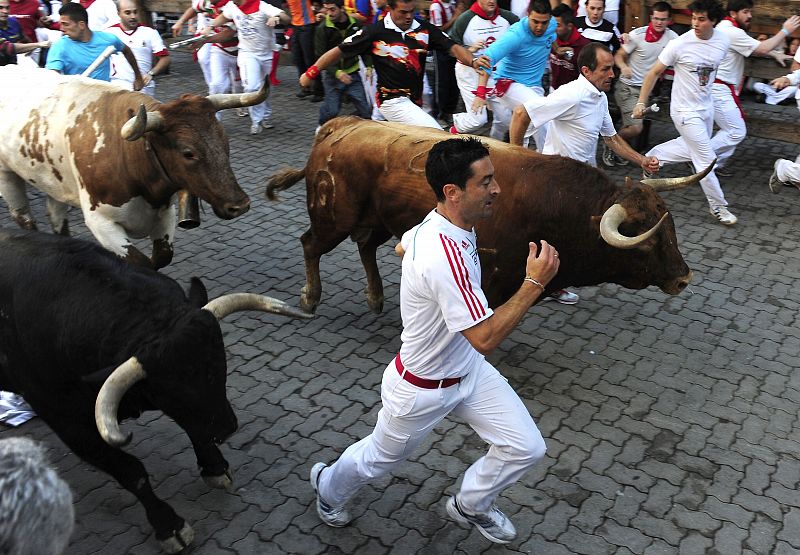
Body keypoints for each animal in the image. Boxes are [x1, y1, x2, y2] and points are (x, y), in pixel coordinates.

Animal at [0, 232, 310, 552]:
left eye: (218, 366)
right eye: (173, 388)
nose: (226, 429)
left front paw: (213, 466)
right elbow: (132, 472)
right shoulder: (70, 425)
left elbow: (194, 428)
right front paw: (169, 526)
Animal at [266, 116, 704, 312]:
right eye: (644, 243)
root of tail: (341, 125)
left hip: (378, 220)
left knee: (365, 247)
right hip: (334, 217)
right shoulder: (487, 284)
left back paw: (375, 299)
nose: (684, 278)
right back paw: (310, 297)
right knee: (311, 244)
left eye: (671, 228)